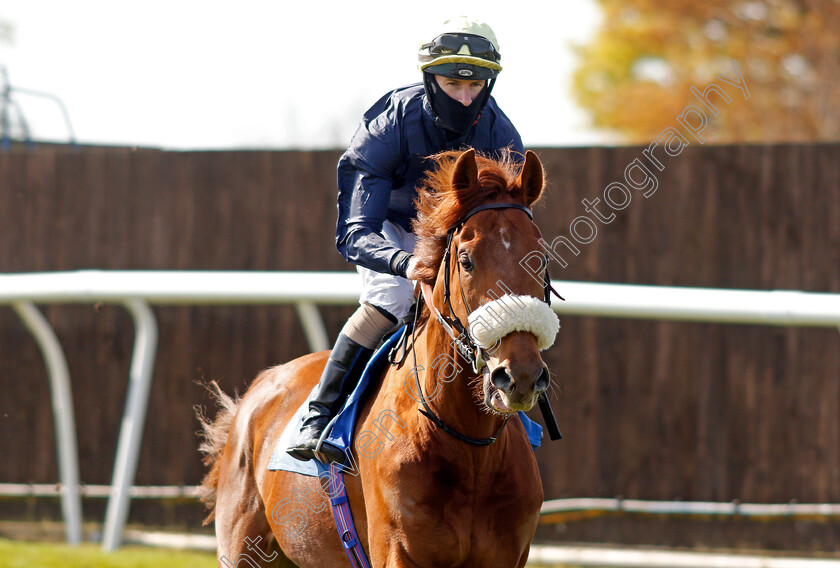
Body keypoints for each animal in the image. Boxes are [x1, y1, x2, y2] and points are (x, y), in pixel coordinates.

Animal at [199, 149, 556, 564]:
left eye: (540, 259)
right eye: (466, 260)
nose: (520, 375)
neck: (469, 446)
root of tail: (260, 386)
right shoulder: (398, 550)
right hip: (241, 545)